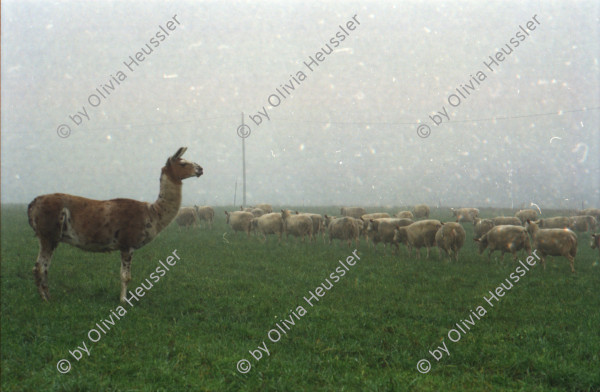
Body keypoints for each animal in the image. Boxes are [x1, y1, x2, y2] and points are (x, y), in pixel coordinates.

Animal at [28, 148, 203, 304]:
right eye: (183, 163)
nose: (200, 169)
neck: (152, 213)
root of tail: (33, 203)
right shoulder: (127, 244)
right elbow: (126, 276)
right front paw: (123, 301)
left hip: (50, 238)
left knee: (43, 267)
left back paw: (48, 297)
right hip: (48, 235)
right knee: (40, 267)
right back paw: (45, 300)